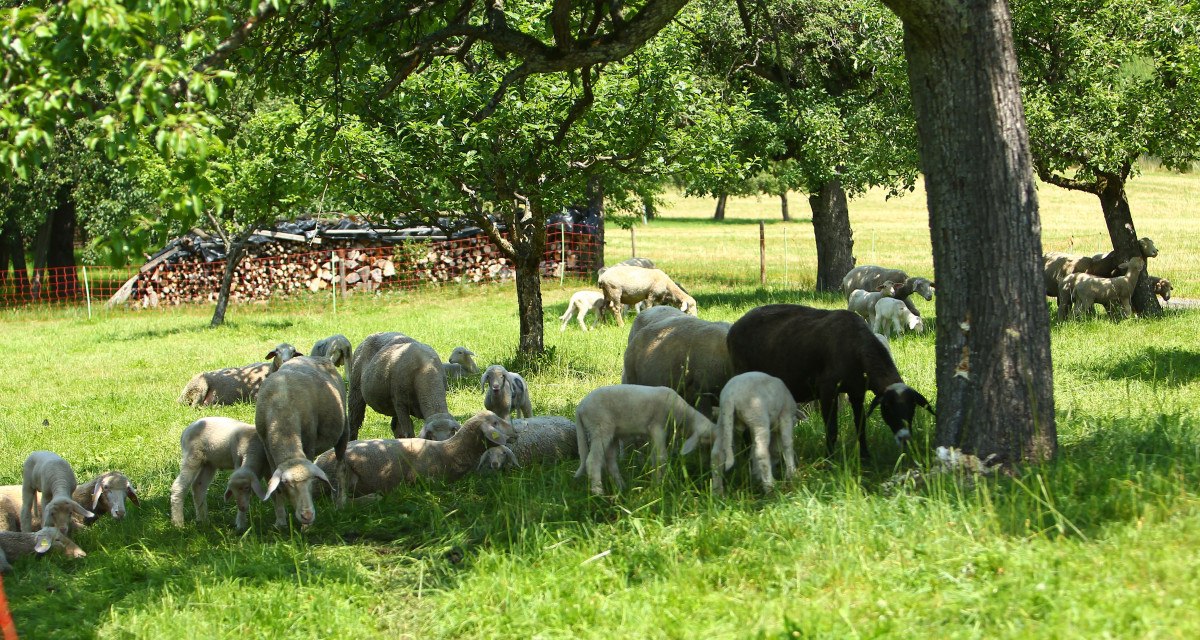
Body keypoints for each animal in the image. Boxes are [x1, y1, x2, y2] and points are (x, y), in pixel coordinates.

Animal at [253, 355, 348, 523]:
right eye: (286, 483)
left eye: (311, 481)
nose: (307, 516)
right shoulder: (267, 449)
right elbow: (275, 487)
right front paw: (280, 520)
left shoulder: (309, 442)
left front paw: (305, 527)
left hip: (343, 430)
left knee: (340, 467)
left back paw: (341, 502)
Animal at [571, 384, 710, 494]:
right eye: (706, 440)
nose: (706, 465)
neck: (681, 412)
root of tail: (580, 407)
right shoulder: (658, 427)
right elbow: (662, 457)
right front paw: (660, 486)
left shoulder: (653, 434)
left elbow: (655, 457)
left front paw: (655, 482)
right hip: (600, 428)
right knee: (593, 461)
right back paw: (598, 493)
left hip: (612, 433)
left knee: (610, 461)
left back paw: (621, 487)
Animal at [724, 301, 931, 456]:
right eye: (887, 407)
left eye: (912, 408)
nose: (905, 439)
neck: (858, 348)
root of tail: (735, 327)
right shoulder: (827, 391)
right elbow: (831, 430)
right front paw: (829, 460)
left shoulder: (857, 393)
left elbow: (861, 426)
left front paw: (865, 457)